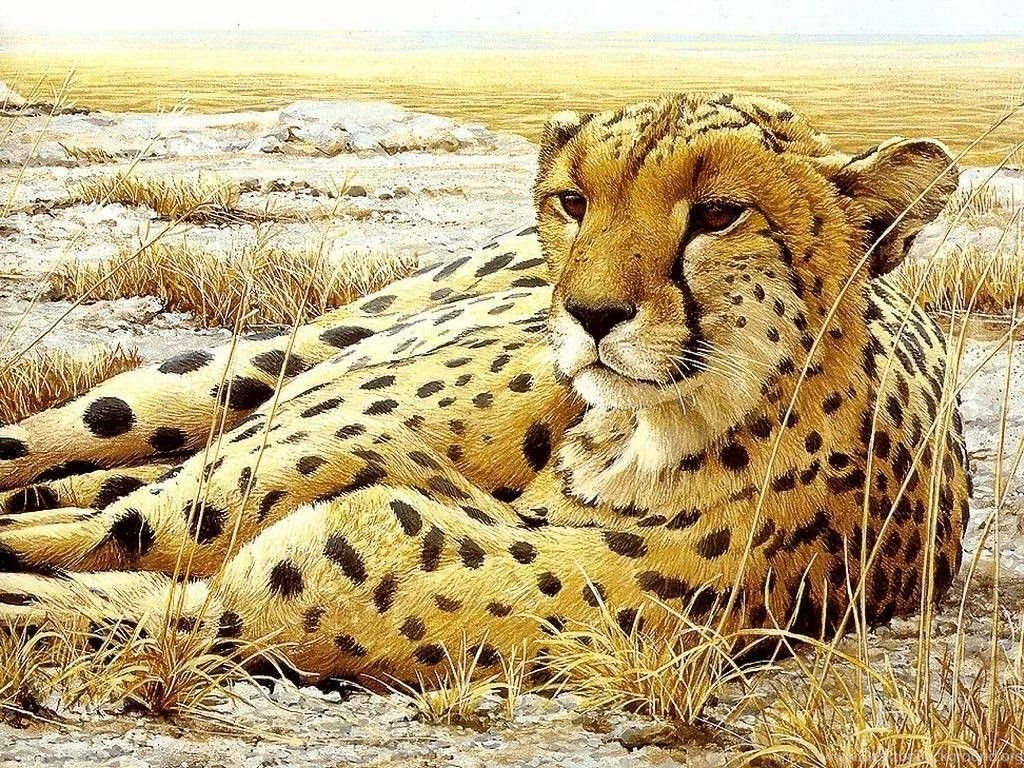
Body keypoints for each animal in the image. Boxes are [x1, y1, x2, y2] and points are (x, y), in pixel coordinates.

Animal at [0, 93, 971, 683]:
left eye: (720, 214)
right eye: (574, 203)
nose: (590, 313)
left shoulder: (245, 610)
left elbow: (93, 604)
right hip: (267, 377)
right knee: (88, 471)